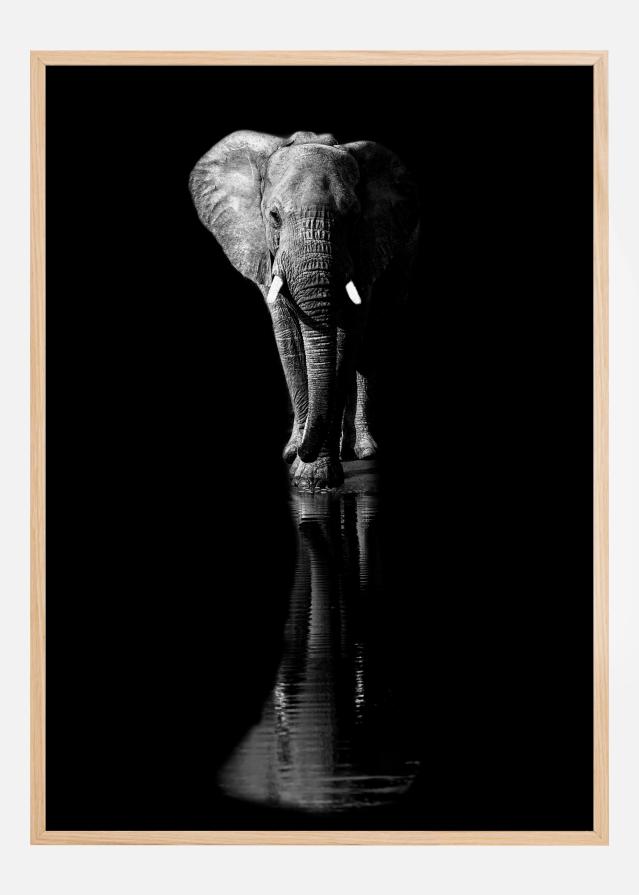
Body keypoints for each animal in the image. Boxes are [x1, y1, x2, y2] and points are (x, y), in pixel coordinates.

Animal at [189, 130, 419, 490]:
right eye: (274, 217)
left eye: (353, 217)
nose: (298, 451)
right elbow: (289, 339)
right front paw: (297, 459)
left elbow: (346, 339)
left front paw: (315, 477)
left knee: (369, 347)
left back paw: (362, 450)